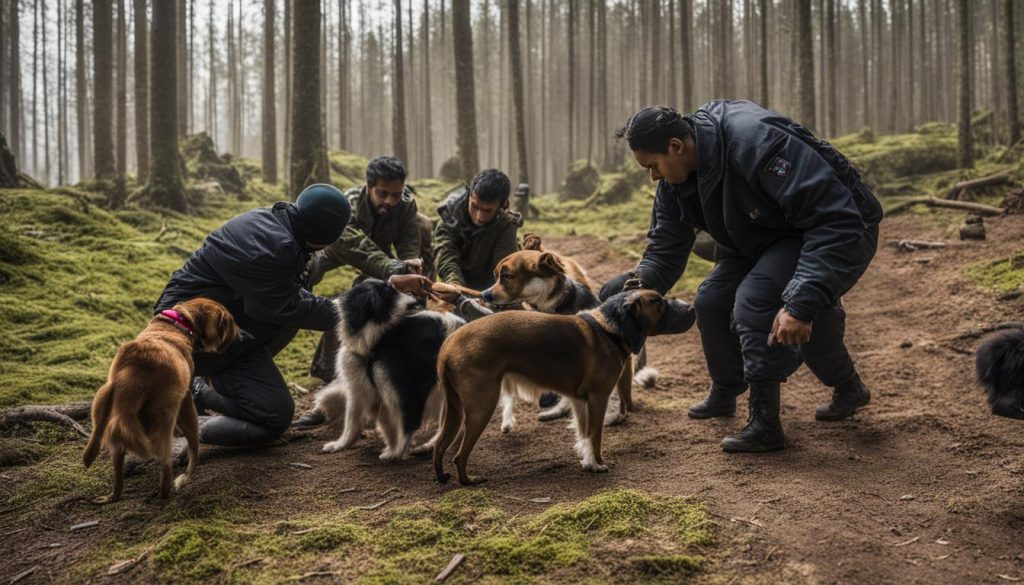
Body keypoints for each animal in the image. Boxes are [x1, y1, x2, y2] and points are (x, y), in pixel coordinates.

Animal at [82, 297, 238, 504]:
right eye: (230, 322)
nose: (239, 335)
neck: (175, 324)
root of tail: (133, 373)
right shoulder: (186, 398)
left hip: (104, 407)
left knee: (113, 462)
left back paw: (111, 495)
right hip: (168, 418)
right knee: (177, 458)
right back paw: (169, 489)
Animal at [317, 280, 466, 461]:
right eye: (391, 290)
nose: (417, 298)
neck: (378, 340)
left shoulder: (401, 386)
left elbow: (405, 424)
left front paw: (395, 452)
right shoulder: (358, 386)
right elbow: (354, 421)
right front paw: (341, 444)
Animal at [432, 288, 696, 485]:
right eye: (659, 303)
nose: (692, 308)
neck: (610, 329)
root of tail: (448, 345)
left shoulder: (580, 402)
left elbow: (585, 435)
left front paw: (588, 463)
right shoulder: (598, 398)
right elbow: (596, 436)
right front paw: (598, 464)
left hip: (454, 410)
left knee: (439, 446)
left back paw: (442, 477)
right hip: (481, 407)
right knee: (459, 455)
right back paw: (468, 481)